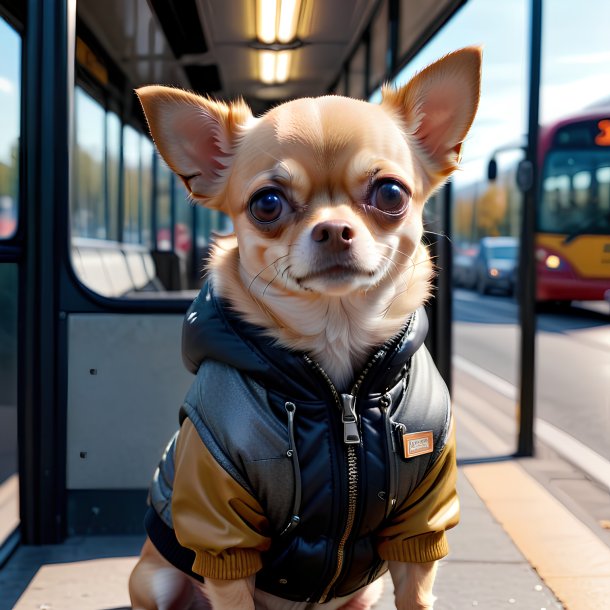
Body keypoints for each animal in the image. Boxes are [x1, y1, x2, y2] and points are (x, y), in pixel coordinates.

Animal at [128, 45, 480, 604]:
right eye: (267, 203)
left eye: (391, 194)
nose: (333, 229)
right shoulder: (221, 533)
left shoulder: (420, 522)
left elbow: (416, 591)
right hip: (154, 578)